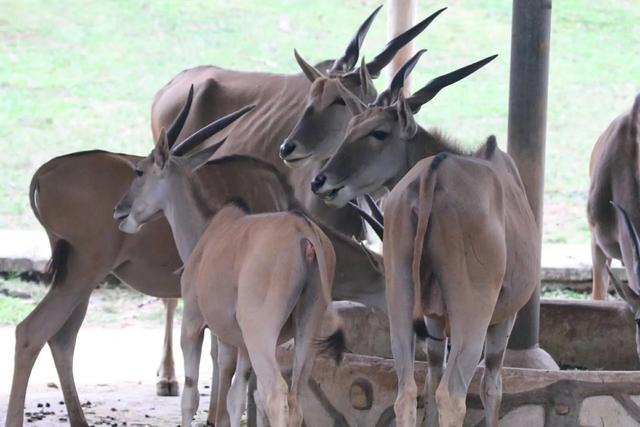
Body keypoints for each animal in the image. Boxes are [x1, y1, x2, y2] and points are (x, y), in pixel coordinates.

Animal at [114, 103, 344, 427]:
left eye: (139, 171)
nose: (120, 212)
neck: (208, 231)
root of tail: (305, 233)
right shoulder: (235, 342)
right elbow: (235, 398)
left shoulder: (194, 323)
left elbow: (191, 396)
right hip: (306, 330)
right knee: (295, 397)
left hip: (261, 334)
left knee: (275, 394)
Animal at [316, 56, 540, 427]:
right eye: (349, 131)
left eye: (378, 132)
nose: (320, 181)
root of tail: (432, 174)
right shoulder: (504, 318)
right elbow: (492, 386)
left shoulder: (432, 321)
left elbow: (431, 374)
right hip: (472, 314)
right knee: (453, 395)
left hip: (399, 300)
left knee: (406, 391)